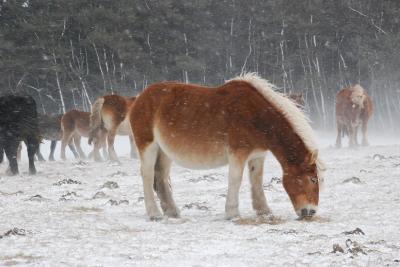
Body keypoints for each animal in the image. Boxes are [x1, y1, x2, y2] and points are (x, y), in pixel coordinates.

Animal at [130, 74, 324, 222]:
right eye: (313, 179)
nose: (310, 211)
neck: (256, 116)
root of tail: (139, 98)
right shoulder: (238, 154)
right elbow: (235, 180)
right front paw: (232, 213)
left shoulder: (258, 156)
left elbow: (256, 180)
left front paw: (264, 211)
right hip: (148, 146)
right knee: (147, 176)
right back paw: (154, 214)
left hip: (164, 152)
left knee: (161, 177)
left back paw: (172, 212)